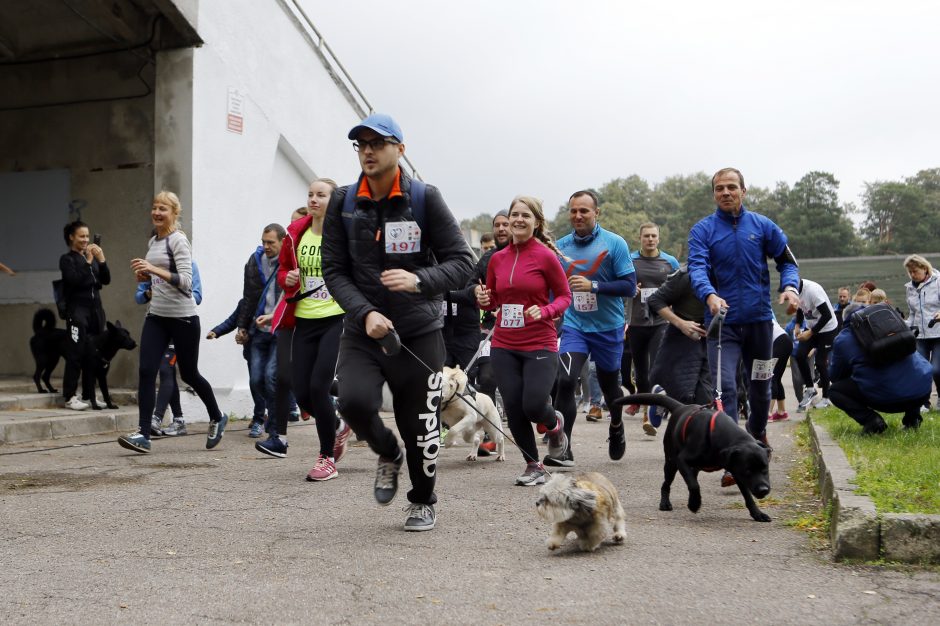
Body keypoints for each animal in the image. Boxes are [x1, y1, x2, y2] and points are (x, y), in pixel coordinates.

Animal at [608, 392, 772, 520]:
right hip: (671, 462)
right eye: (748, 470)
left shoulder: (735, 469)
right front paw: (694, 504)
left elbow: (747, 496)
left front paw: (757, 514)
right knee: (667, 484)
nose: (764, 489)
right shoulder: (682, 460)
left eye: (765, 469)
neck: (721, 435)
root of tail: (680, 407)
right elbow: (694, 485)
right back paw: (665, 503)